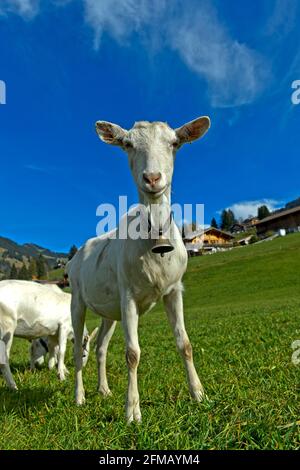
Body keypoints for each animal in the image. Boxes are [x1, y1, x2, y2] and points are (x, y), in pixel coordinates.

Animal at [67, 116, 210, 422]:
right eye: (128, 144)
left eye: (175, 143)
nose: (153, 178)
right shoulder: (129, 295)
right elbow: (132, 353)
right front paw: (132, 411)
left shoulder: (174, 290)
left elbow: (185, 343)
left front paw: (199, 394)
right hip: (77, 300)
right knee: (77, 350)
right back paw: (79, 397)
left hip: (109, 311)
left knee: (100, 348)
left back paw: (104, 390)